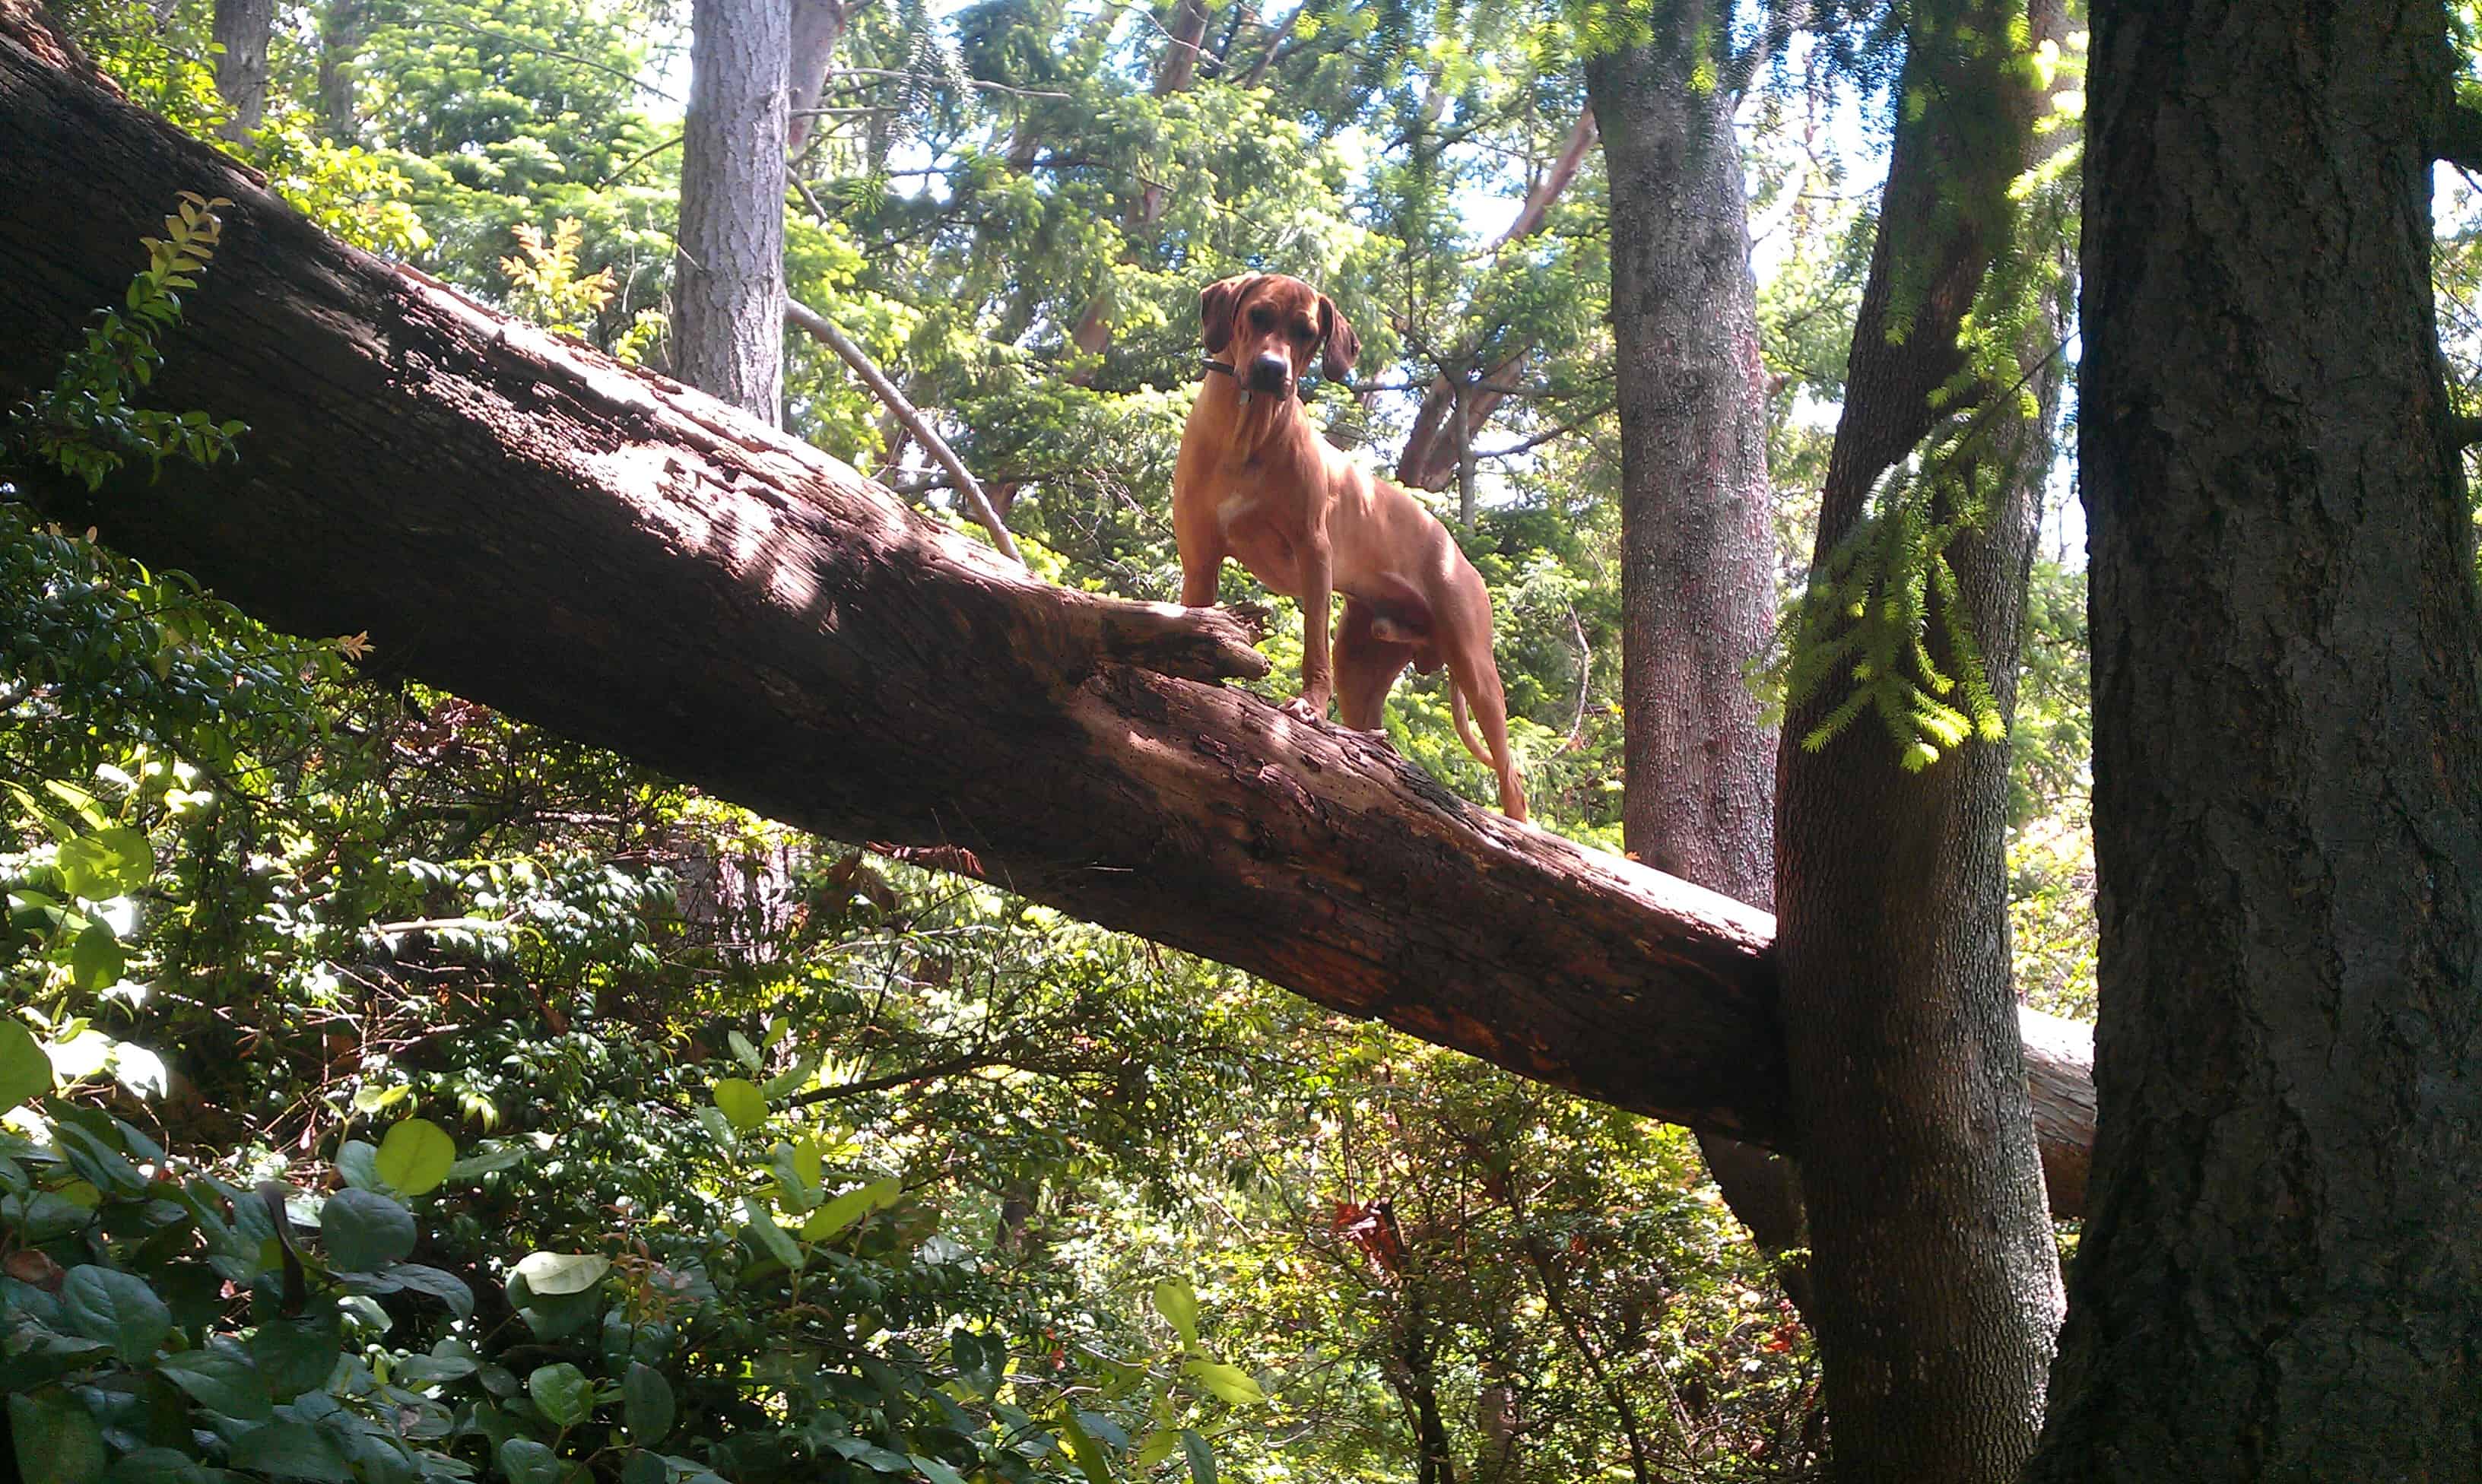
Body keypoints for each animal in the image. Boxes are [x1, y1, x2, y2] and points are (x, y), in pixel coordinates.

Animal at [1171, 270, 1519, 823]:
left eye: (1307, 333)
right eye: (1257, 316)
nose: (1271, 371)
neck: (1247, 432)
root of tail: (1456, 552)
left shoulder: (1314, 553)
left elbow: (1313, 642)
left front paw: (1309, 707)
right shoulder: (1201, 558)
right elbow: (1199, 614)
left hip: (1475, 665)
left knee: (1512, 775)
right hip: (1363, 665)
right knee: (1369, 723)